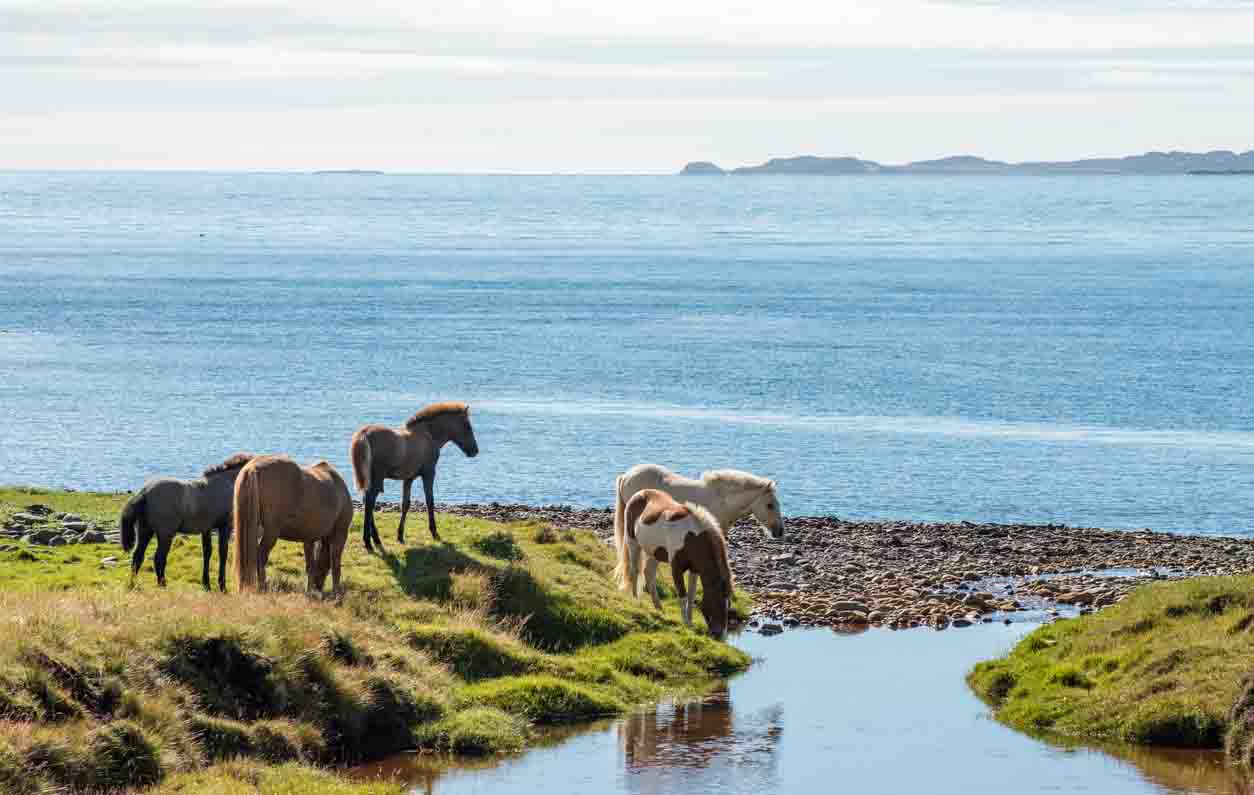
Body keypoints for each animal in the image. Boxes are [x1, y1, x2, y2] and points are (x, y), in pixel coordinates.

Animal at [119, 451, 254, 589]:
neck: (226, 483)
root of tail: (144, 492)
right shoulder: (225, 527)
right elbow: (223, 553)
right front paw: (222, 586)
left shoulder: (206, 529)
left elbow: (207, 552)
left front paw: (206, 584)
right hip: (165, 534)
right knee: (158, 558)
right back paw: (162, 584)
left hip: (145, 531)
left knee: (137, 556)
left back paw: (133, 584)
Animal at [233, 453, 353, 591]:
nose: (318, 586)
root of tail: (253, 467)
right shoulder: (340, 534)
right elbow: (335, 565)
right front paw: (336, 592)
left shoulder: (309, 538)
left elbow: (310, 565)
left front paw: (309, 590)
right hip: (271, 532)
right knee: (261, 556)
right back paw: (263, 586)